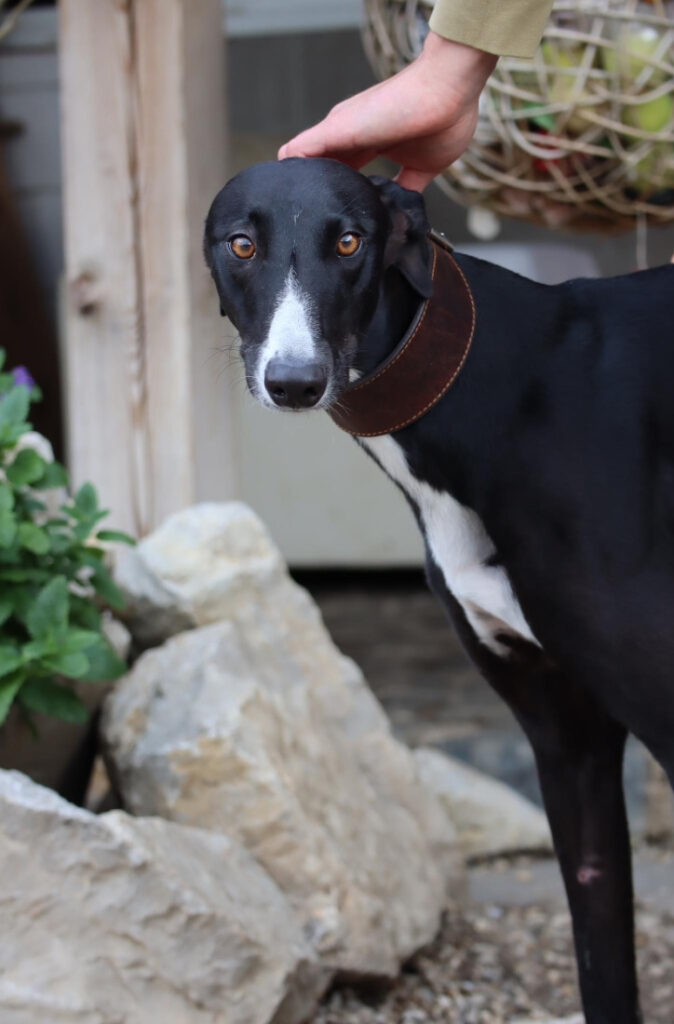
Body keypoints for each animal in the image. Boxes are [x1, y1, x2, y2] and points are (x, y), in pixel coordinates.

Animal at [204, 157, 674, 1024]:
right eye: (242, 244)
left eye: (350, 240)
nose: (295, 382)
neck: (507, 395)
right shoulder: (567, 741)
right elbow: (600, 951)